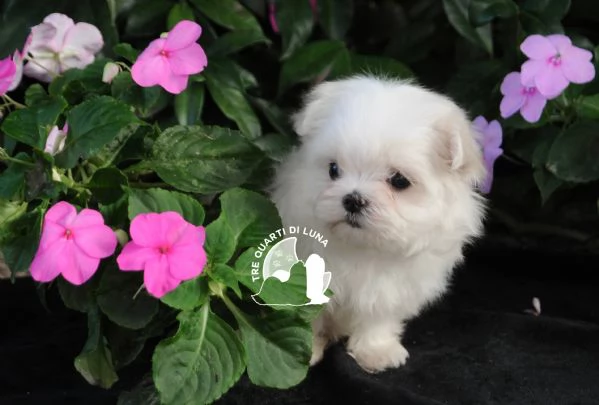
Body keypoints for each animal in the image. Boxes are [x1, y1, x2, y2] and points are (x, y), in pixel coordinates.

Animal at [270, 75, 486, 373]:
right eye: (333, 170)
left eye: (399, 181)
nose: (353, 200)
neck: (363, 247)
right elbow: (309, 312)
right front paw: (307, 348)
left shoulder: (391, 288)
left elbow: (378, 317)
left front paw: (376, 351)